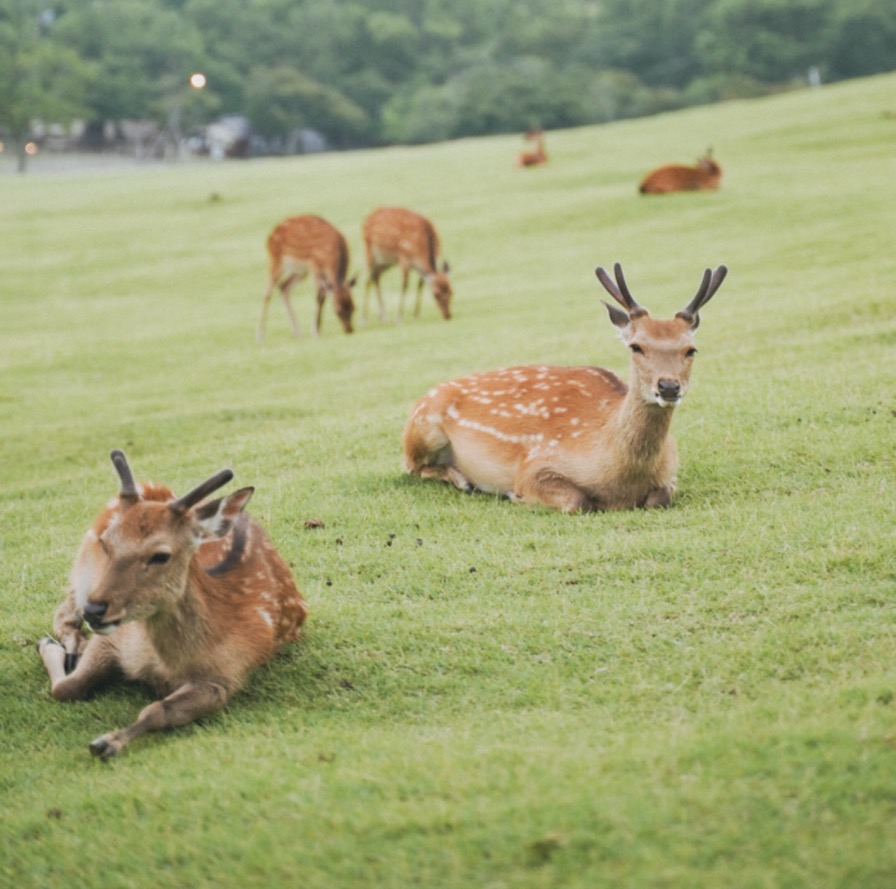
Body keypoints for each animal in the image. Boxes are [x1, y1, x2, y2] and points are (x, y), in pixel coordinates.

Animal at [36, 450, 308, 756]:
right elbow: (67, 687)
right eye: (106, 542)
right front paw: (52, 650)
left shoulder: (228, 674)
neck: (167, 665)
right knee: (64, 612)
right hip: (82, 568)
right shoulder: (116, 636)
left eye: (160, 555)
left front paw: (108, 742)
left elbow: (158, 711)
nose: (94, 611)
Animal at [258, 213, 356, 342]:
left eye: (354, 307)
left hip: (300, 271)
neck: (331, 255)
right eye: (337, 311)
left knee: (284, 286)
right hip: (275, 260)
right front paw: (315, 331)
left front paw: (316, 329)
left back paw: (297, 332)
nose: (349, 330)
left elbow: (323, 295)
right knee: (267, 292)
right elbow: (319, 296)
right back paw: (260, 336)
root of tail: (270, 236)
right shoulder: (314, 265)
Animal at [402, 262, 732, 512]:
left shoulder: (671, 470)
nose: (668, 387)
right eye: (636, 346)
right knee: (412, 467)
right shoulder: (535, 464)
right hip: (422, 429)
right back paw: (463, 480)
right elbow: (578, 500)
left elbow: (660, 497)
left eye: (690, 350)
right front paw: (515, 496)